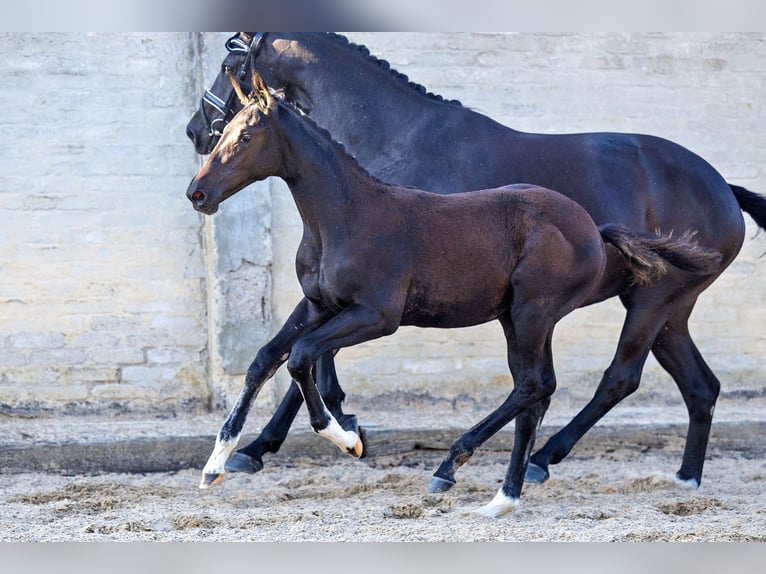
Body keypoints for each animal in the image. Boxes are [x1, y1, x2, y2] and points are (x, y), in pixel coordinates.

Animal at [188, 31, 766, 490]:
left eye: (231, 60)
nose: (196, 130)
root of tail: (725, 189)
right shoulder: (325, 302)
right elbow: (278, 356)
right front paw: (250, 449)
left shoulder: (373, 307)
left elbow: (306, 359)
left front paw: (331, 428)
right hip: (661, 309)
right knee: (698, 385)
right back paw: (685, 477)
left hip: (642, 303)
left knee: (614, 377)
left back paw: (535, 460)